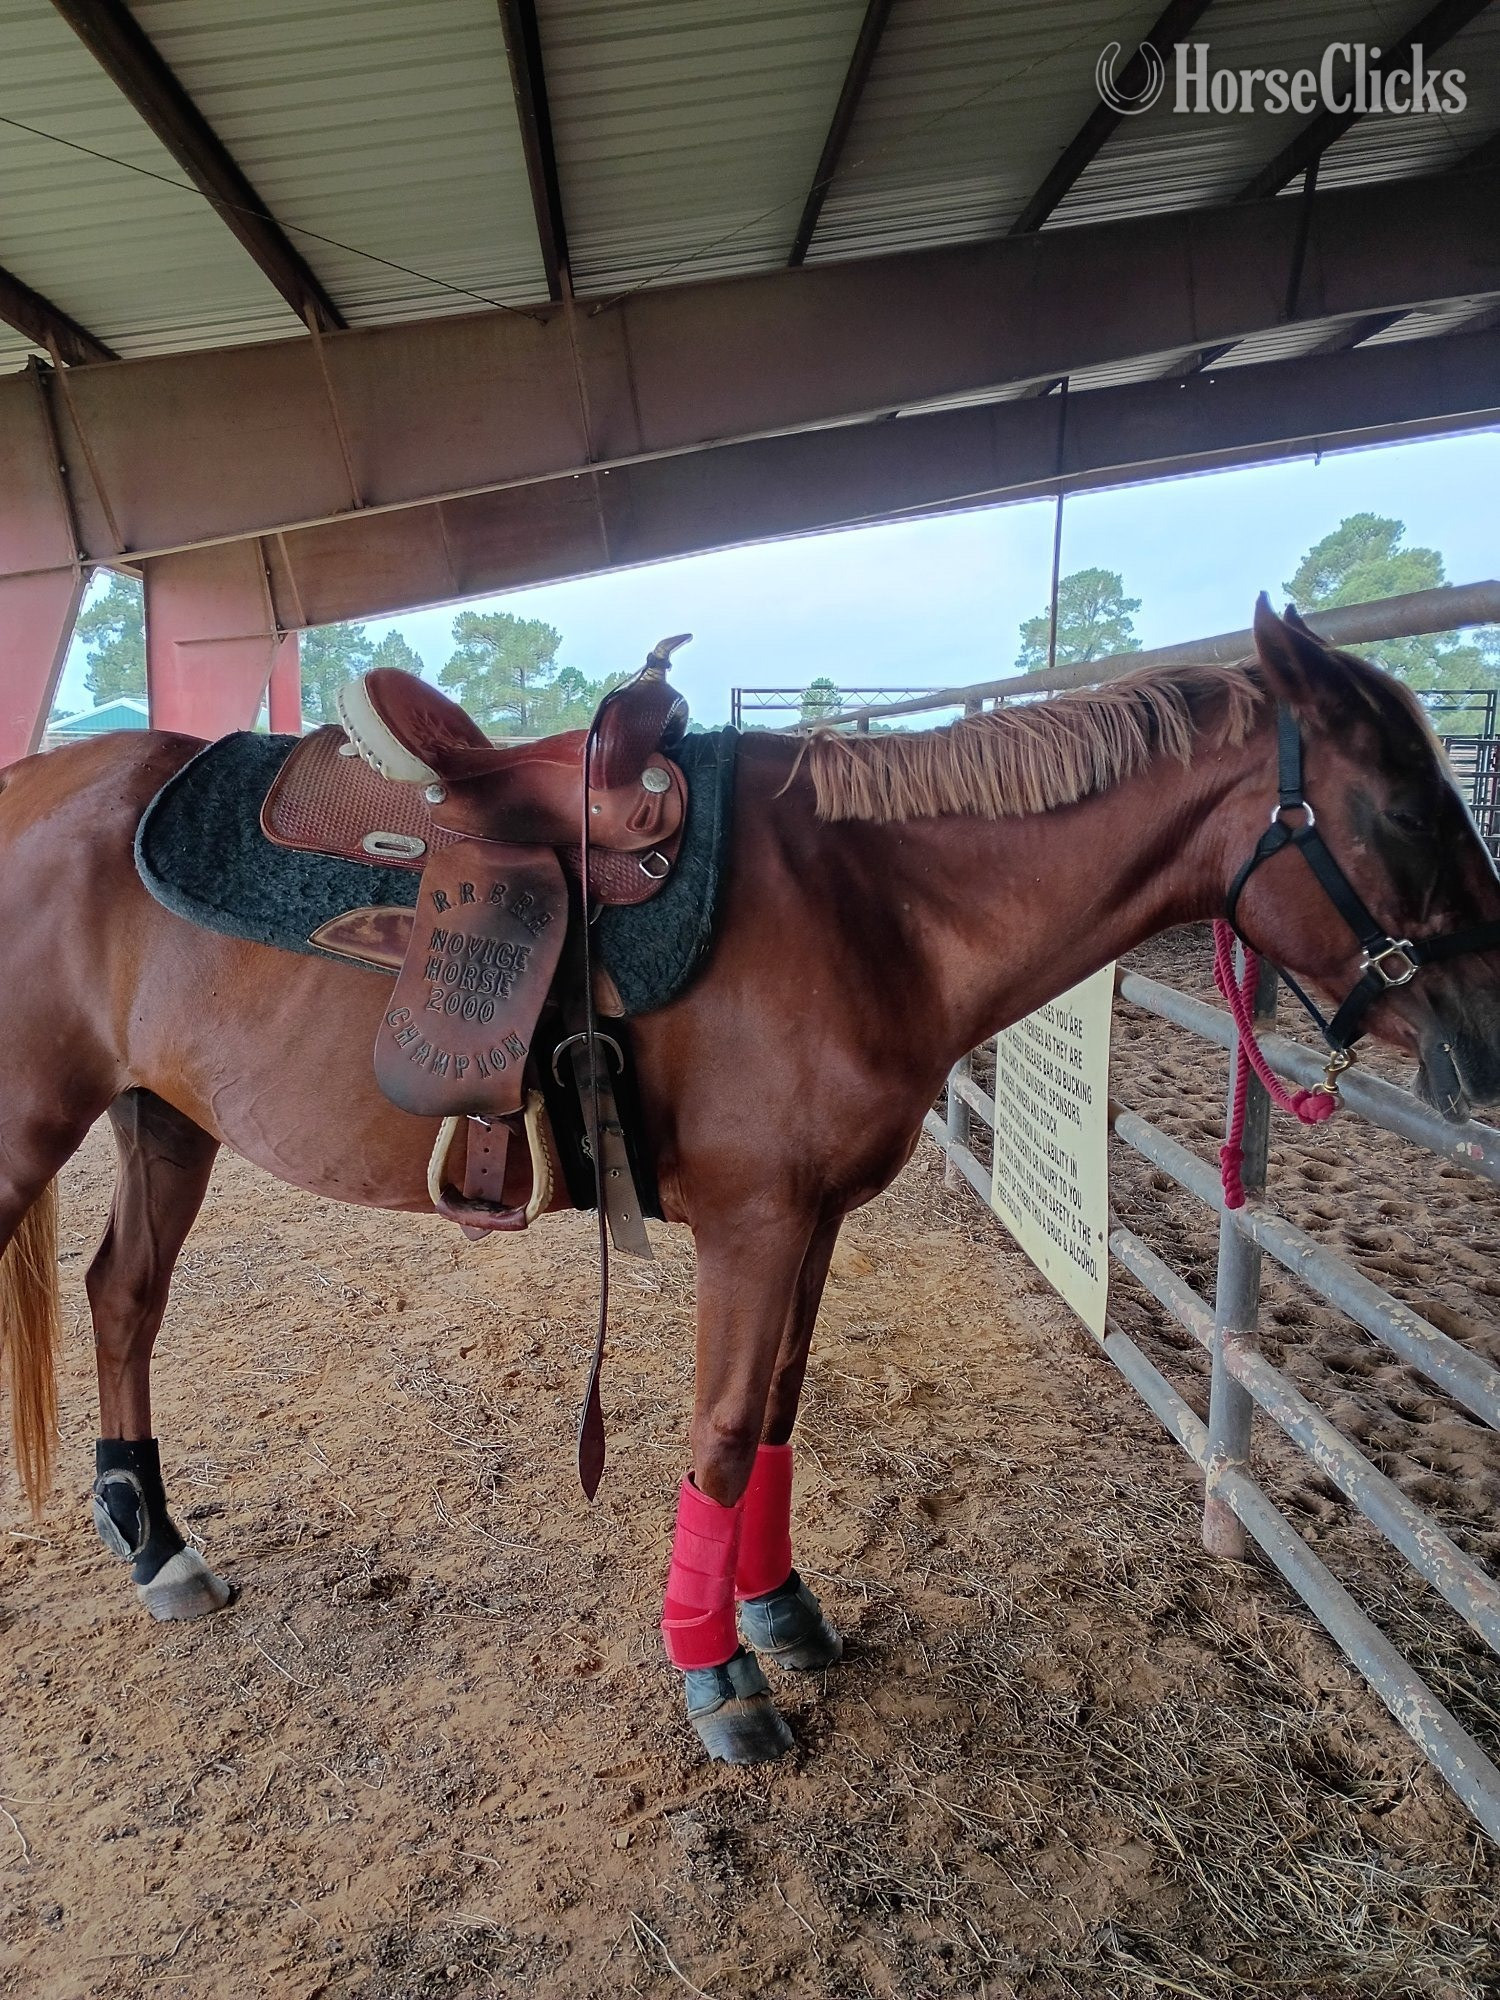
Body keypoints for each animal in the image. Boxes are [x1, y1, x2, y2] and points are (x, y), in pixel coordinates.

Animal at [2, 599, 1498, 1763]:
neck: (869, 904)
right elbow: (722, 1430)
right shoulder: (754, 1223)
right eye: (1403, 805)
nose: (1485, 1032)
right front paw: (715, 1672)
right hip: (36, 1125)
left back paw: (158, 1545)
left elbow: (779, 1408)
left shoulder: (817, 1220)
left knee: (123, 1296)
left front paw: (778, 1608)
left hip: (164, 1117)